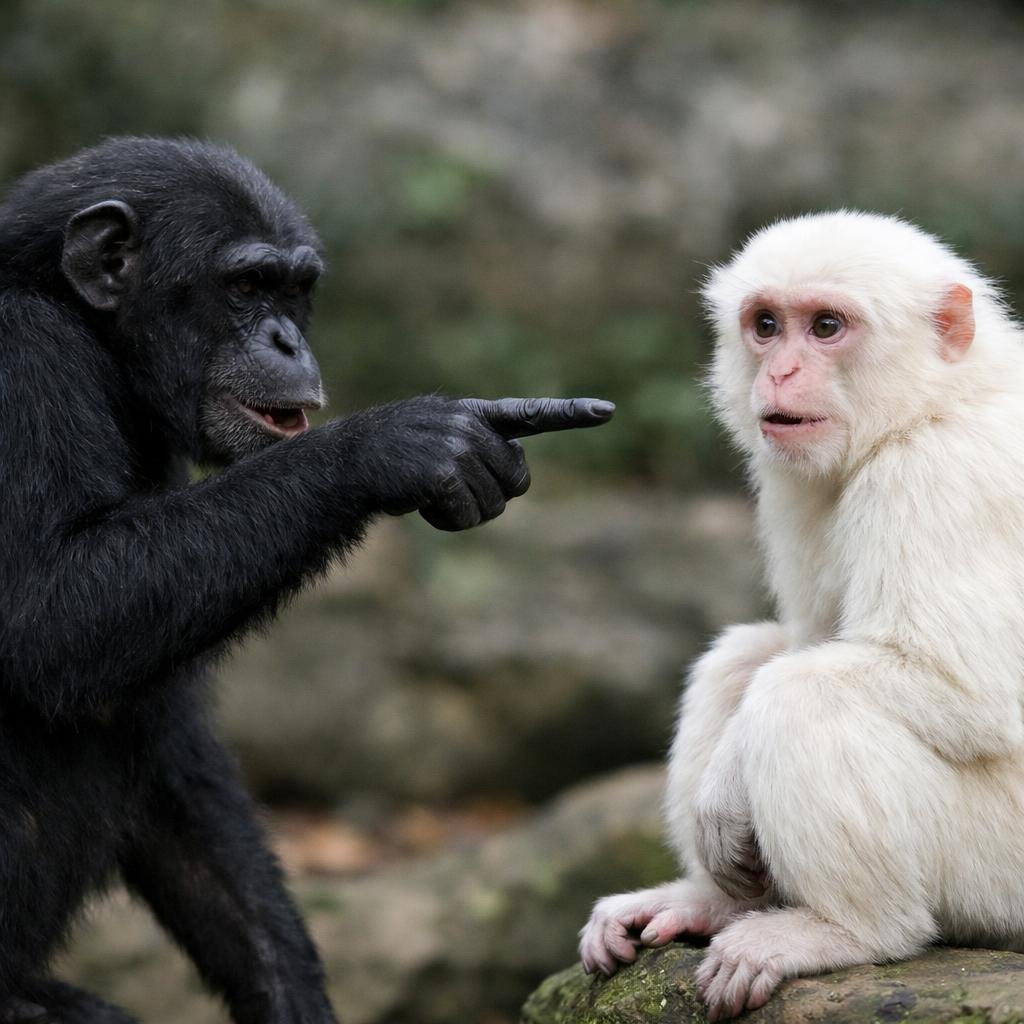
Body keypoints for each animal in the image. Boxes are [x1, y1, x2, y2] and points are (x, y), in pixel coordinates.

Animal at [578, 211, 1024, 1019]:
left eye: (825, 327)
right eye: (766, 326)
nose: (779, 373)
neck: (932, 403)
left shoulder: (938, 475)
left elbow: (958, 687)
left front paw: (728, 788)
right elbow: (804, 641)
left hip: (999, 870)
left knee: (801, 696)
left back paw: (848, 931)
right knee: (744, 660)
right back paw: (712, 903)